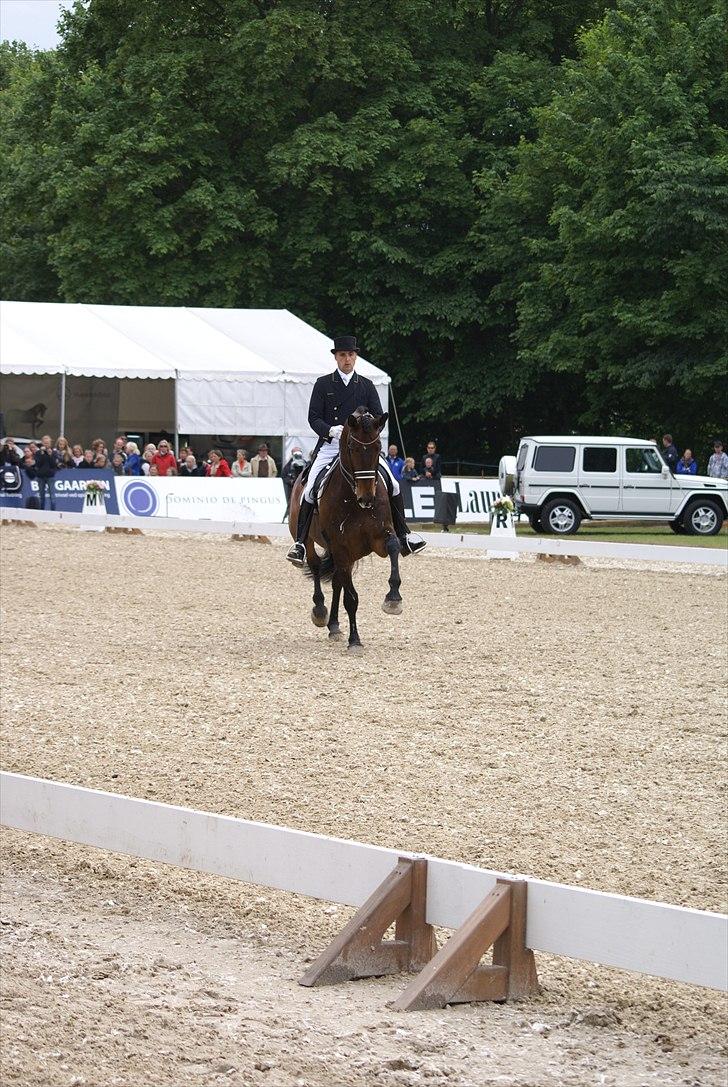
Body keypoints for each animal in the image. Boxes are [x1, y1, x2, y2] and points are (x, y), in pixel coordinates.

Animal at [289, 406, 404, 643]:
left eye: (378, 447)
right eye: (352, 447)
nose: (367, 498)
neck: (353, 500)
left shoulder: (379, 538)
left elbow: (394, 546)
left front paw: (393, 598)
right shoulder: (340, 545)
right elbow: (351, 598)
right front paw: (355, 640)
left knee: (337, 581)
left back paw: (334, 625)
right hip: (311, 540)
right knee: (315, 566)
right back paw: (320, 612)